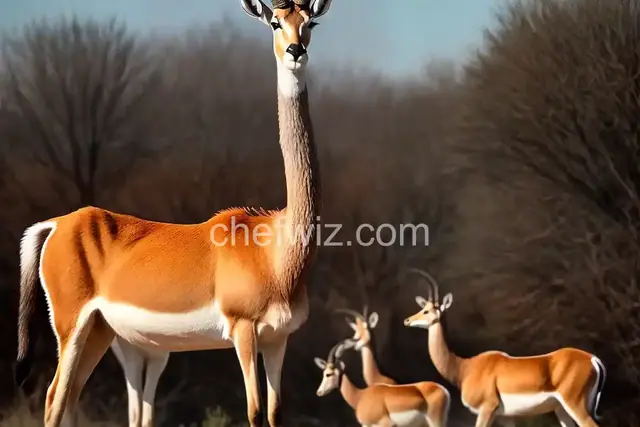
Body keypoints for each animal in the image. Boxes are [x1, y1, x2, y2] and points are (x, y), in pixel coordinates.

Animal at [14, 1, 333, 426]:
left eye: (310, 21)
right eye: (275, 22)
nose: (296, 51)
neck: (276, 253)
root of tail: (58, 224)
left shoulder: (277, 339)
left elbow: (275, 413)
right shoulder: (243, 332)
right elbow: (253, 412)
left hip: (100, 332)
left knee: (70, 399)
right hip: (72, 325)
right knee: (54, 398)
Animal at [314, 339, 451, 427]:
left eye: (328, 374)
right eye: (323, 373)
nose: (319, 392)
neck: (360, 396)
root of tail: (443, 390)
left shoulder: (385, 424)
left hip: (435, 422)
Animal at [402, 269, 607, 427]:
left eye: (426, 311)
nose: (407, 320)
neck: (465, 367)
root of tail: (593, 359)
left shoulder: (487, 409)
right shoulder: (506, 417)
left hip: (575, 405)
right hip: (561, 410)